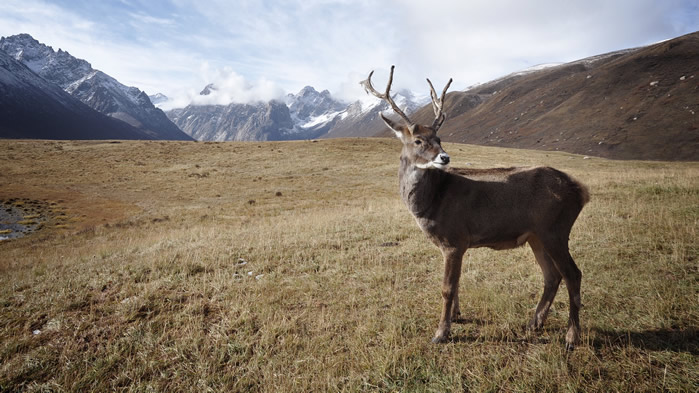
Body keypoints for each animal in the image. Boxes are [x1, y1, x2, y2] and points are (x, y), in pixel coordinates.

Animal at [360, 65, 592, 350]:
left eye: (439, 137)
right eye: (418, 140)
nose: (444, 157)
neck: (432, 202)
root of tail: (581, 190)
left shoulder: (454, 238)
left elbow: (447, 287)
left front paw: (441, 332)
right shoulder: (455, 244)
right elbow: (457, 283)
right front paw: (457, 317)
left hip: (555, 229)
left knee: (573, 274)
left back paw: (571, 337)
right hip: (537, 236)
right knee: (552, 276)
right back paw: (534, 323)